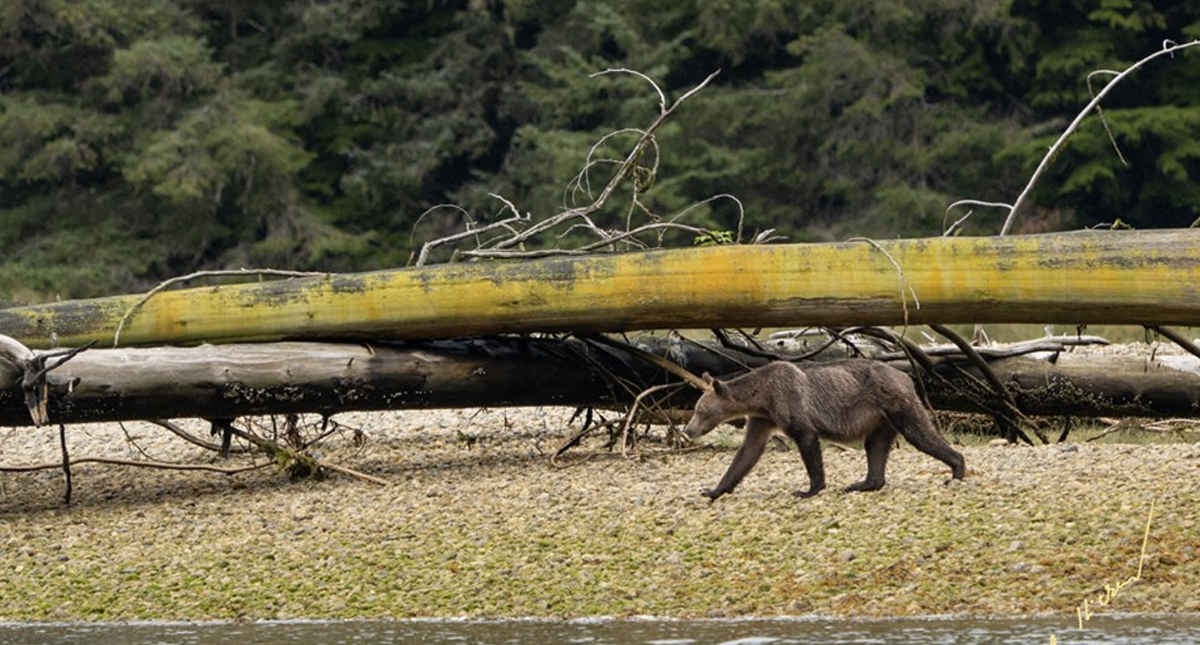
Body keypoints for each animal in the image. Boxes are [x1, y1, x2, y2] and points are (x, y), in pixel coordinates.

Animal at [683, 359, 965, 500]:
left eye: (699, 410)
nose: (688, 430)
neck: (762, 397)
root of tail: (905, 376)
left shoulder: (789, 402)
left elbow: (807, 440)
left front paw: (809, 489)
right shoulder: (763, 418)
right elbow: (748, 452)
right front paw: (713, 490)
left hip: (895, 402)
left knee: (918, 432)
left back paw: (957, 469)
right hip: (881, 418)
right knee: (874, 445)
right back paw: (863, 483)